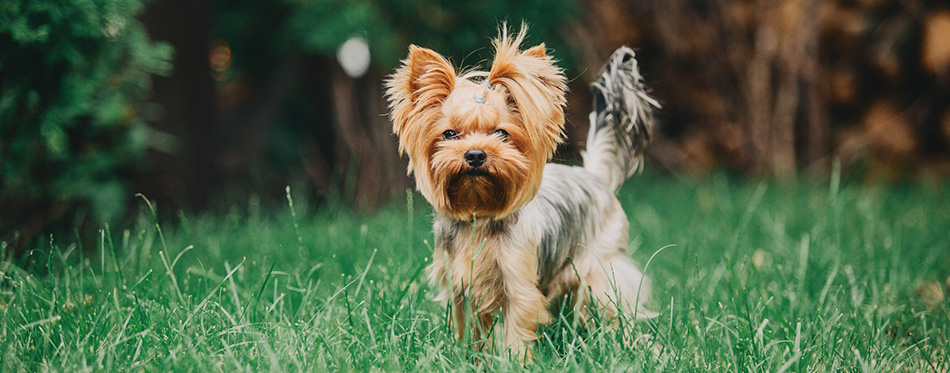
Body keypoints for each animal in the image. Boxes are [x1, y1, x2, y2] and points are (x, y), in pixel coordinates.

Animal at [386, 25, 660, 358]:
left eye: (502, 133)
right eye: (449, 134)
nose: (475, 154)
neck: (481, 214)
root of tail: (594, 175)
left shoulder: (518, 284)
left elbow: (516, 329)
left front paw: (514, 361)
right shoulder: (462, 285)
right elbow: (471, 330)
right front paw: (470, 359)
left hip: (601, 268)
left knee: (611, 303)